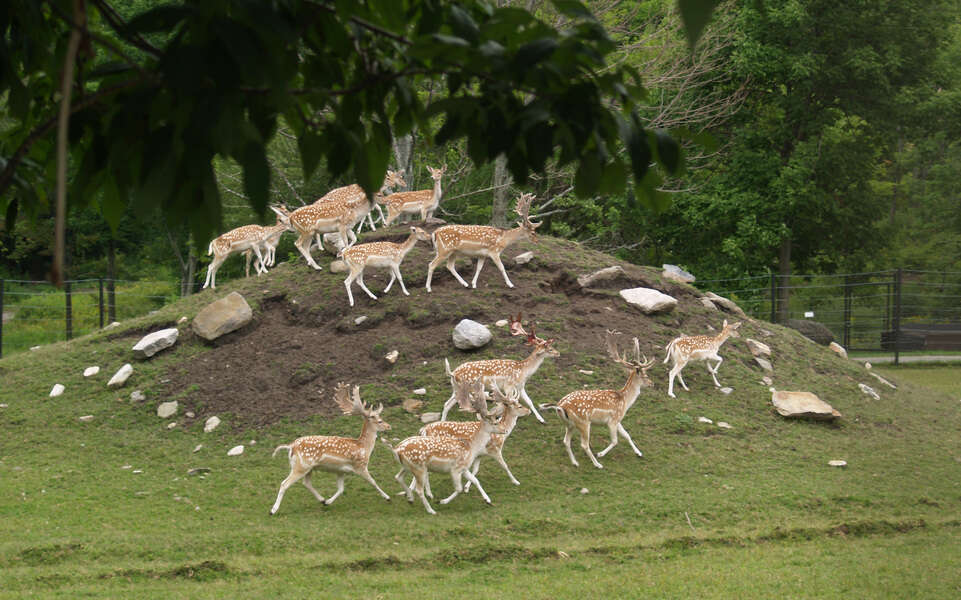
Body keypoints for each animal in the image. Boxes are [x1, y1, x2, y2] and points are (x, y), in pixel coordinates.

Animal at [266, 382, 390, 512]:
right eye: (380, 421)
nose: (389, 426)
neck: (364, 447)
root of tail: (291, 446)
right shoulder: (360, 466)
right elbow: (373, 482)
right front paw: (387, 497)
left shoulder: (341, 471)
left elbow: (341, 489)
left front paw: (328, 501)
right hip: (301, 466)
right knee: (284, 483)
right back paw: (273, 510)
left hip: (307, 467)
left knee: (306, 483)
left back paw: (322, 500)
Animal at [382, 380, 502, 516]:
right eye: (494, 423)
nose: (504, 430)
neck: (472, 447)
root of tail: (396, 449)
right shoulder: (455, 469)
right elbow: (459, 488)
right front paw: (443, 501)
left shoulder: (464, 468)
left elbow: (476, 481)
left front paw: (488, 500)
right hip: (419, 468)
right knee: (418, 489)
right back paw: (430, 510)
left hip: (408, 467)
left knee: (398, 477)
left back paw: (410, 498)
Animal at [540, 332, 652, 468]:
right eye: (645, 375)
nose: (652, 383)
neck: (625, 400)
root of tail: (560, 406)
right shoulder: (612, 421)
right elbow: (615, 441)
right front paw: (600, 454)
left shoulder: (618, 419)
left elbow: (627, 435)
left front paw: (639, 453)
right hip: (583, 422)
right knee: (584, 444)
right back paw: (597, 464)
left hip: (570, 424)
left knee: (566, 441)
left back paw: (575, 462)